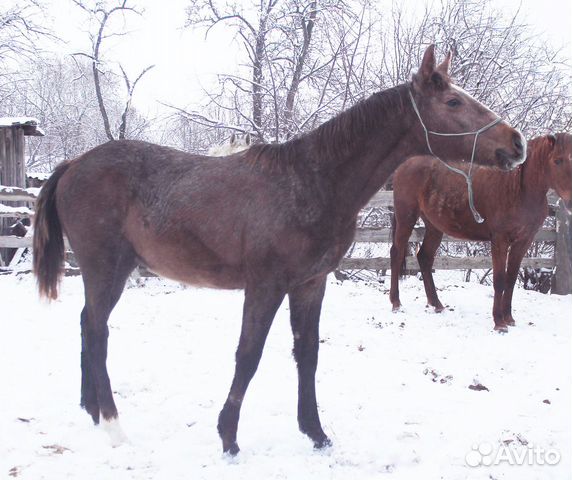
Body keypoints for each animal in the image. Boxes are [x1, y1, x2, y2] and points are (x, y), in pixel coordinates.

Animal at [30, 45, 524, 454]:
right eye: (453, 102)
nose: (515, 143)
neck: (313, 181)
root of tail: (74, 164)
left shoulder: (310, 284)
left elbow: (307, 355)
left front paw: (316, 433)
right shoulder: (265, 286)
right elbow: (248, 355)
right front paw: (228, 437)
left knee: (87, 325)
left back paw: (92, 411)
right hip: (106, 269)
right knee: (97, 332)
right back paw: (113, 426)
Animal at [388, 133, 572, 332]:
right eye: (557, 161)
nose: (570, 202)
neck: (518, 189)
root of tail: (405, 164)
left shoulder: (523, 241)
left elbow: (511, 278)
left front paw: (509, 318)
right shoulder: (499, 240)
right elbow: (499, 280)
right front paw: (499, 322)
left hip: (434, 226)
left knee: (424, 258)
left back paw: (436, 304)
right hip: (406, 218)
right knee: (396, 253)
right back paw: (396, 303)